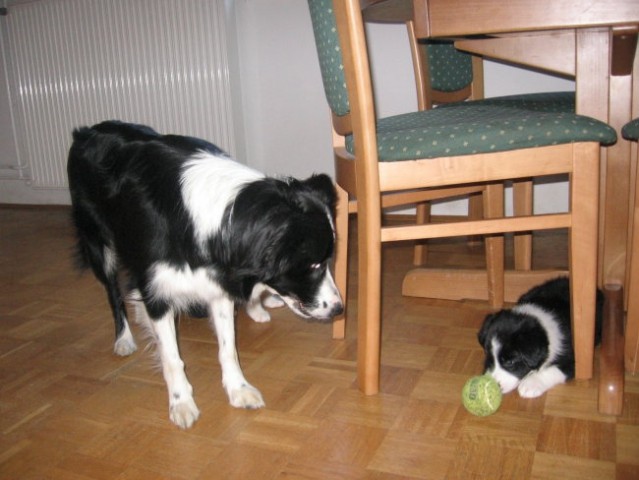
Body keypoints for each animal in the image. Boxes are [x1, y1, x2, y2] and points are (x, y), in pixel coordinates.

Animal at [67, 122, 344, 430]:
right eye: (313, 265)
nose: (339, 310)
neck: (224, 218)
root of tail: (87, 131)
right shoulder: (159, 288)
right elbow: (172, 356)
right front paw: (181, 403)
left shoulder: (216, 285)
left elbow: (228, 347)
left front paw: (238, 389)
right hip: (99, 243)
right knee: (113, 292)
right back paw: (124, 338)